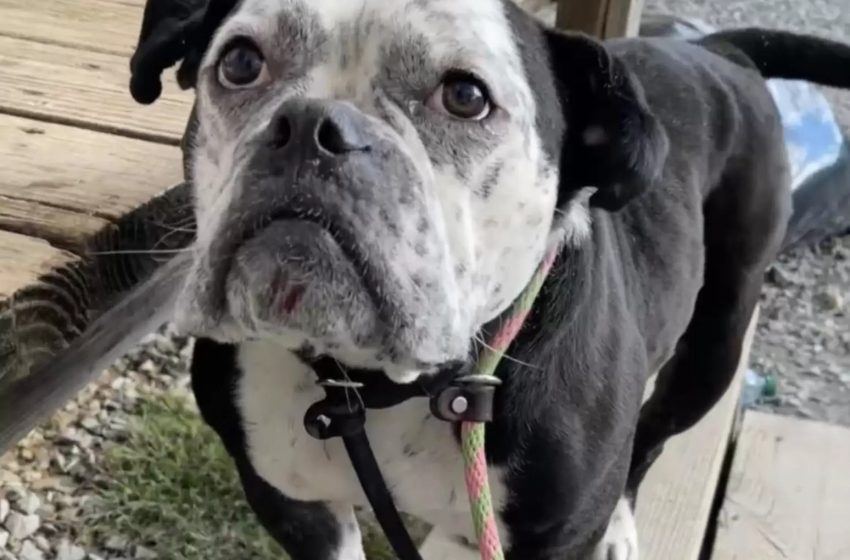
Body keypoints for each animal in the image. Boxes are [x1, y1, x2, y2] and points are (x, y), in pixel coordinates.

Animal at [127, 2, 848, 556]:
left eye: (466, 97)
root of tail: (715, 50)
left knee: (652, 438)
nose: (311, 124)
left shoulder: (551, 536)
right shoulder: (292, 504)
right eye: (240, 62)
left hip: (715, 347)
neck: (378, 384)